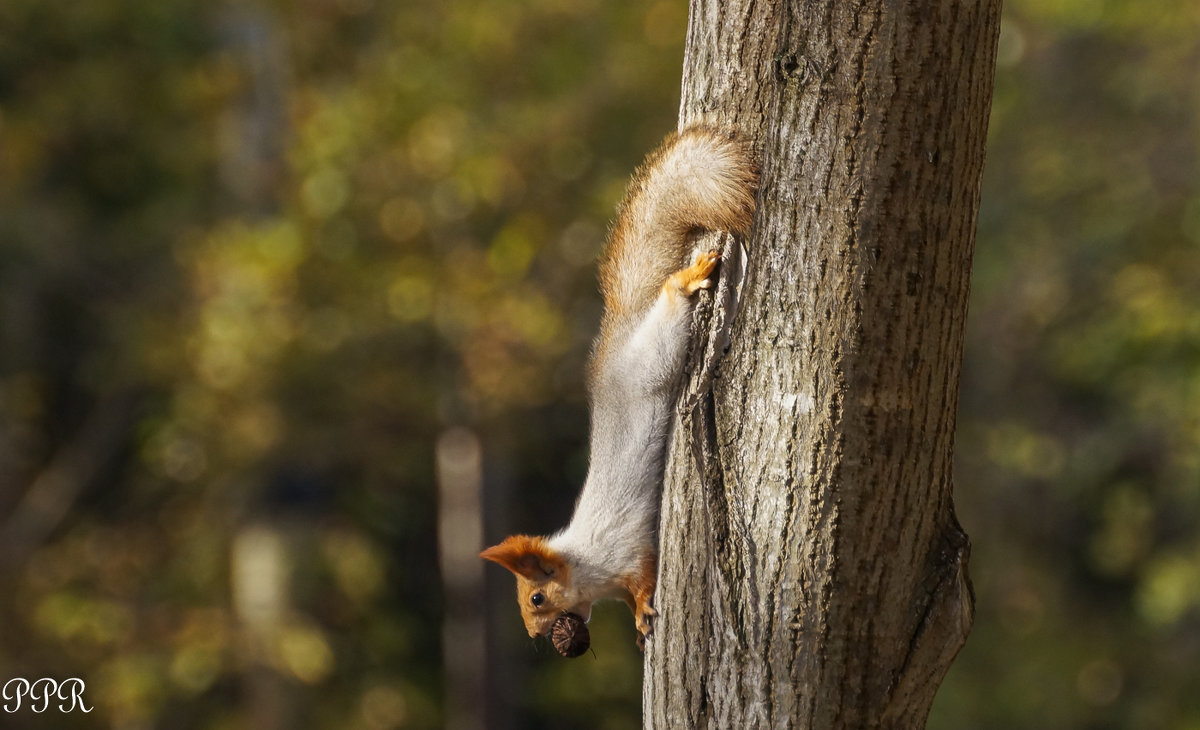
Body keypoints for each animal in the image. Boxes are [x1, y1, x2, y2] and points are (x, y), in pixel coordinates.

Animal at [480, 124, 753, 648]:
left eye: (536, 598)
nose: (537, 637)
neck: (586, 565)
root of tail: (618, 336)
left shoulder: (626, 549)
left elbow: (643, 577)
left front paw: (644, 609)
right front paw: (636, 620)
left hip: (654, 356)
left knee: (670, 301)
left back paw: (687, 279)